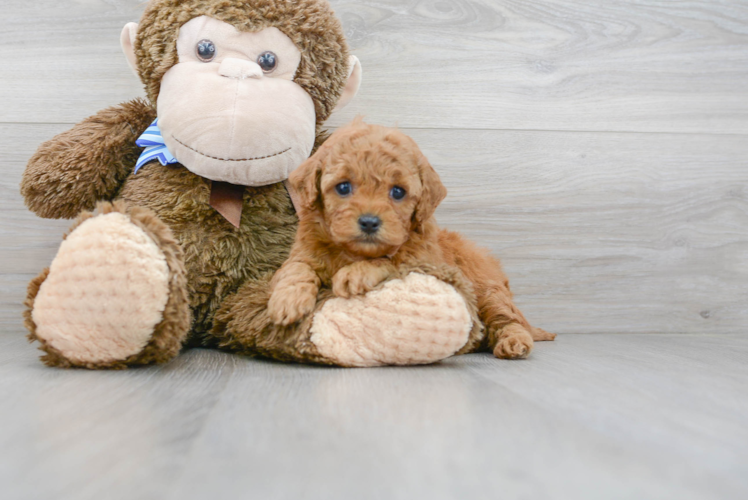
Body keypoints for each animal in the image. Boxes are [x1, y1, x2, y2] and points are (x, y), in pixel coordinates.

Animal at [268, 120, 556, 360]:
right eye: (343, 187)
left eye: (398, 192)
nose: (369, 222)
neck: (355, 252)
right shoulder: (304, 251)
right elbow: (296, 268)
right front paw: (287, 300)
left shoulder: (424, 261)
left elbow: (390, 261)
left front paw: (356, 274)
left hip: (489, 291)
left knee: (508, 320)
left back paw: (514, 342)